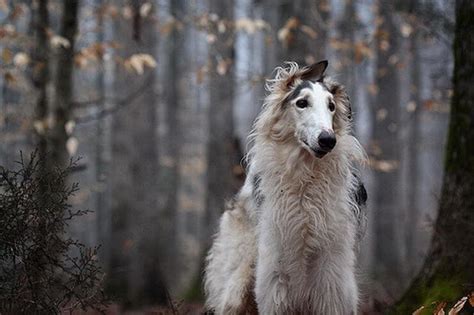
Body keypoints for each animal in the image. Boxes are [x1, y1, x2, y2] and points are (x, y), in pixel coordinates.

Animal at [204, 60, 366, 314]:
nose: (328, 140)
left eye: (331, 106)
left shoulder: (333, 272)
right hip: (238, 278)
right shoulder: (275, 270)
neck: (305, 182)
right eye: (302, 103)